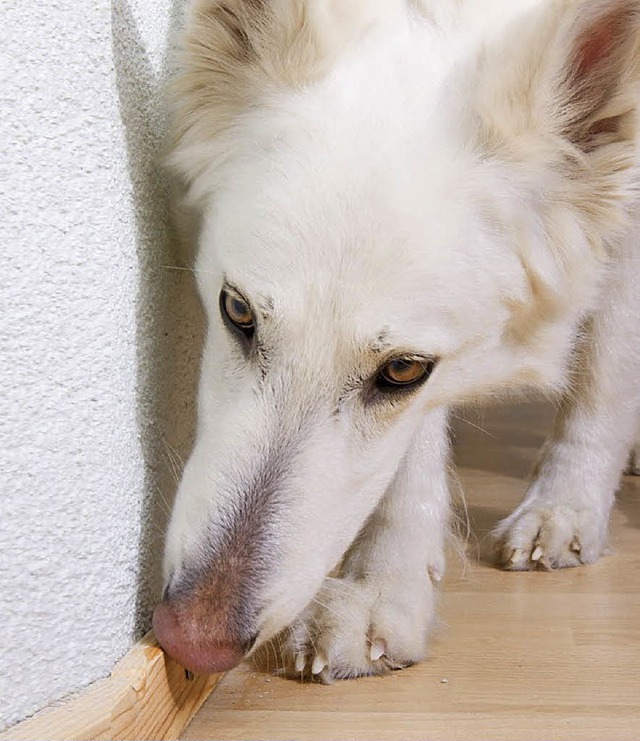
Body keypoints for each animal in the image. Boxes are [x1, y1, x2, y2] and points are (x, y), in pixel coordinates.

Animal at [154, 0, 640, 684]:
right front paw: (378, 589)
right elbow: (413, 454)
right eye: (237, 311)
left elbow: (606, 373)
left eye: (404, 371)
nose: (191, 642)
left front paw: (567, 505)